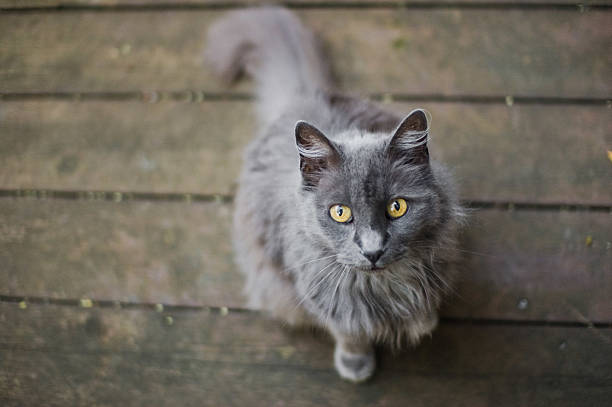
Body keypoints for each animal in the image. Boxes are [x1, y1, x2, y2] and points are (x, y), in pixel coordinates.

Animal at [203, 7, 462, 382]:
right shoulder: (323, 298)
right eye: (340, 213)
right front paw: (356, 364)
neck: (382, 287)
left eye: (397, 208)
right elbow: (350, 333)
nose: (372, 250)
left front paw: (425, 322)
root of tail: (303, 98)